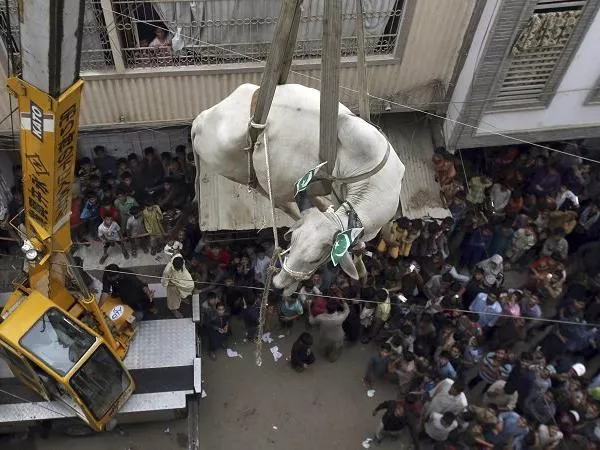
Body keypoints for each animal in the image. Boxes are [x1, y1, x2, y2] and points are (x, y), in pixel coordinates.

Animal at [192, 83, 406, 296]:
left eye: (316, 259)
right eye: (292, 242)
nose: (278, 284)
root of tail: (200, 120)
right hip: (253, 181)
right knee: (283, 204)